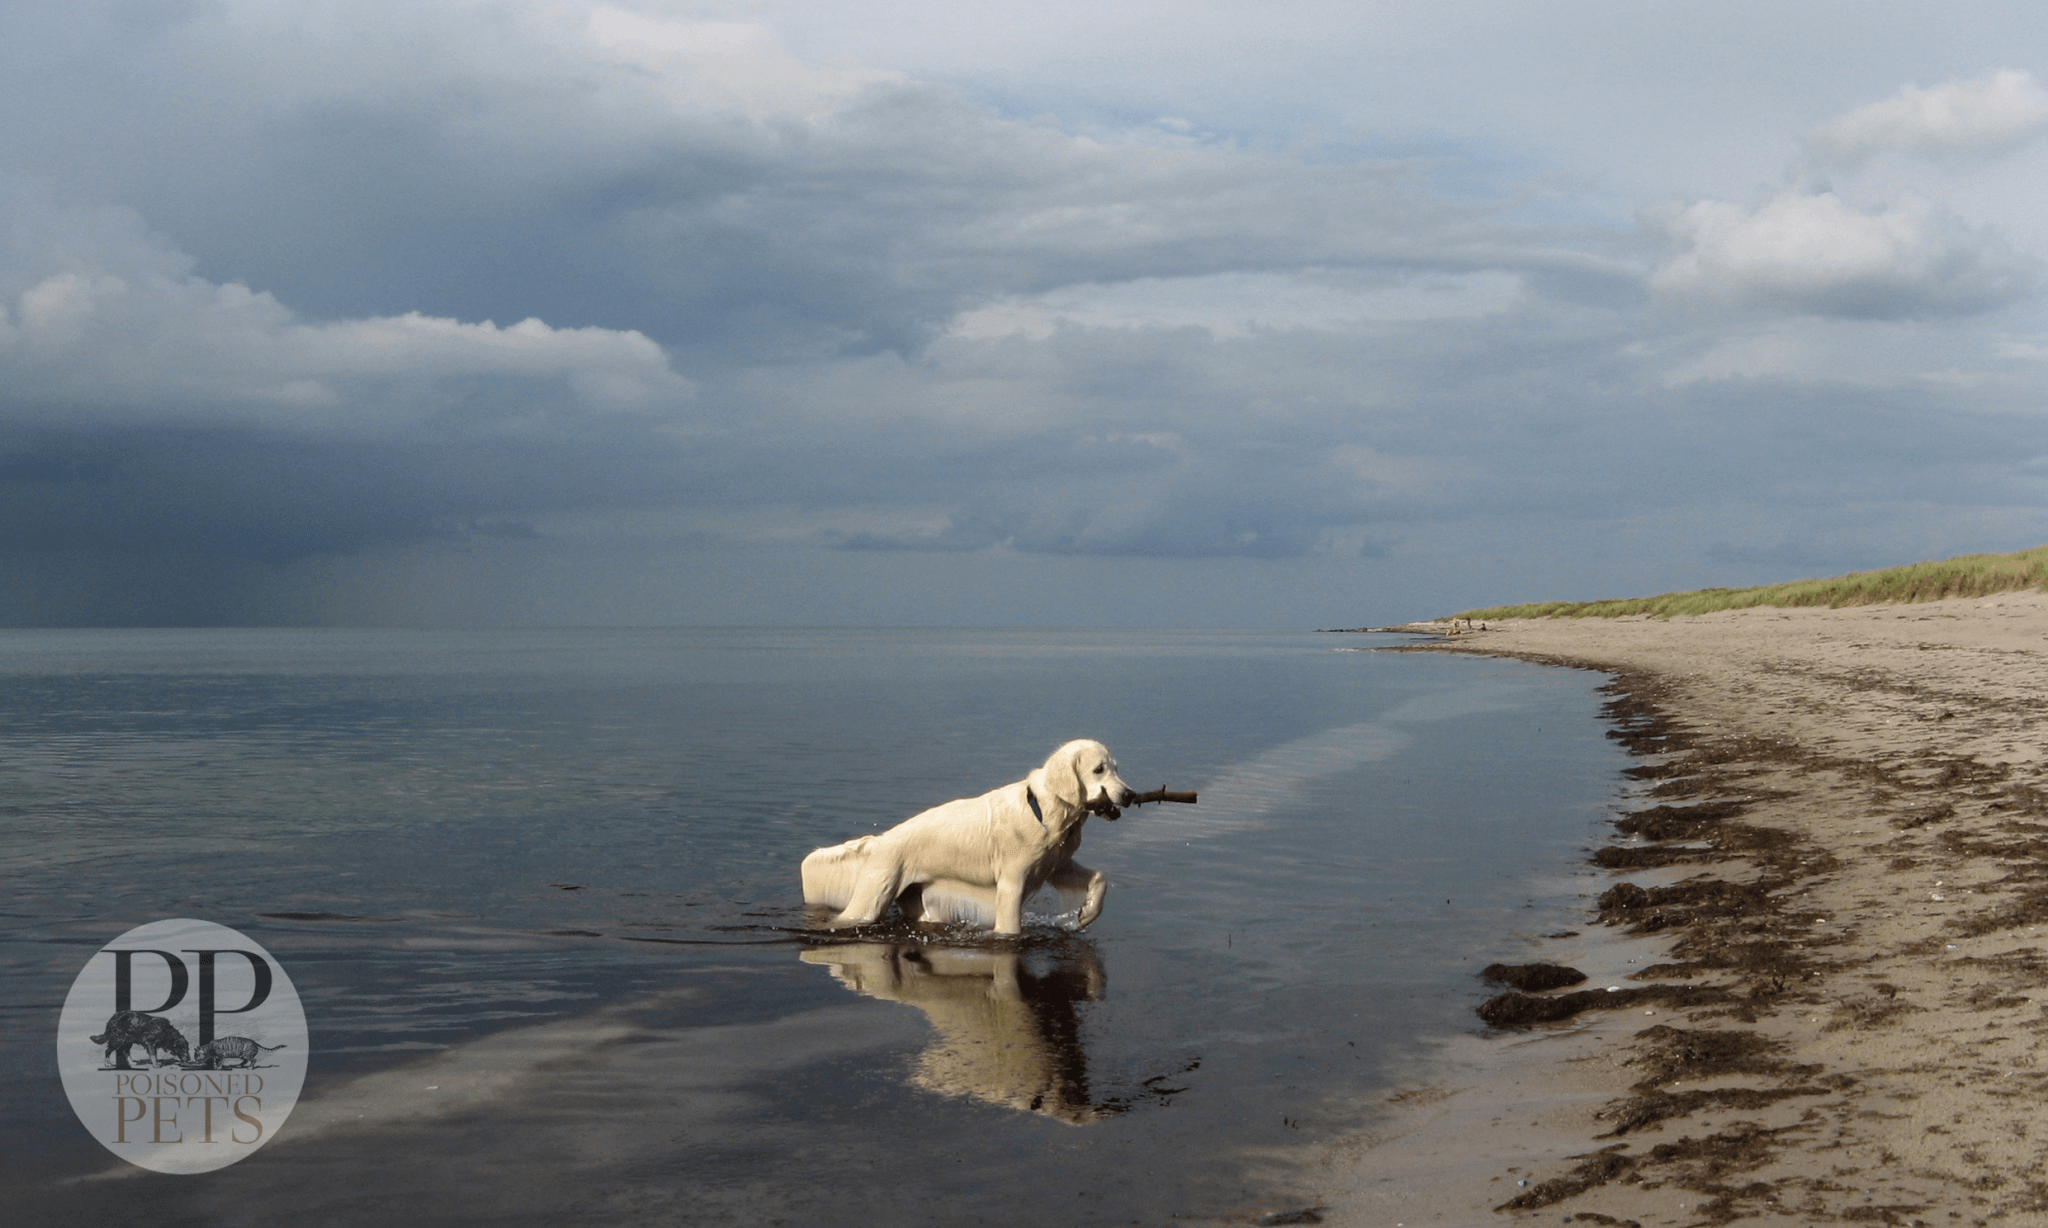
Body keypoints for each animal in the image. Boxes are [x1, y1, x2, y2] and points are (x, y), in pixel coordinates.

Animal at [802, 736, 1138, 929]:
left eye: (1117, 769)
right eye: (1098, 770)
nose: (1130, 794)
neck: (1044, 810)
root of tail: (879, 840)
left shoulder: (1057, 867)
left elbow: (1100, 878)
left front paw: (1088, 913)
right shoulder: (1012, 884)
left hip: (916, 903)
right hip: (871, 900)